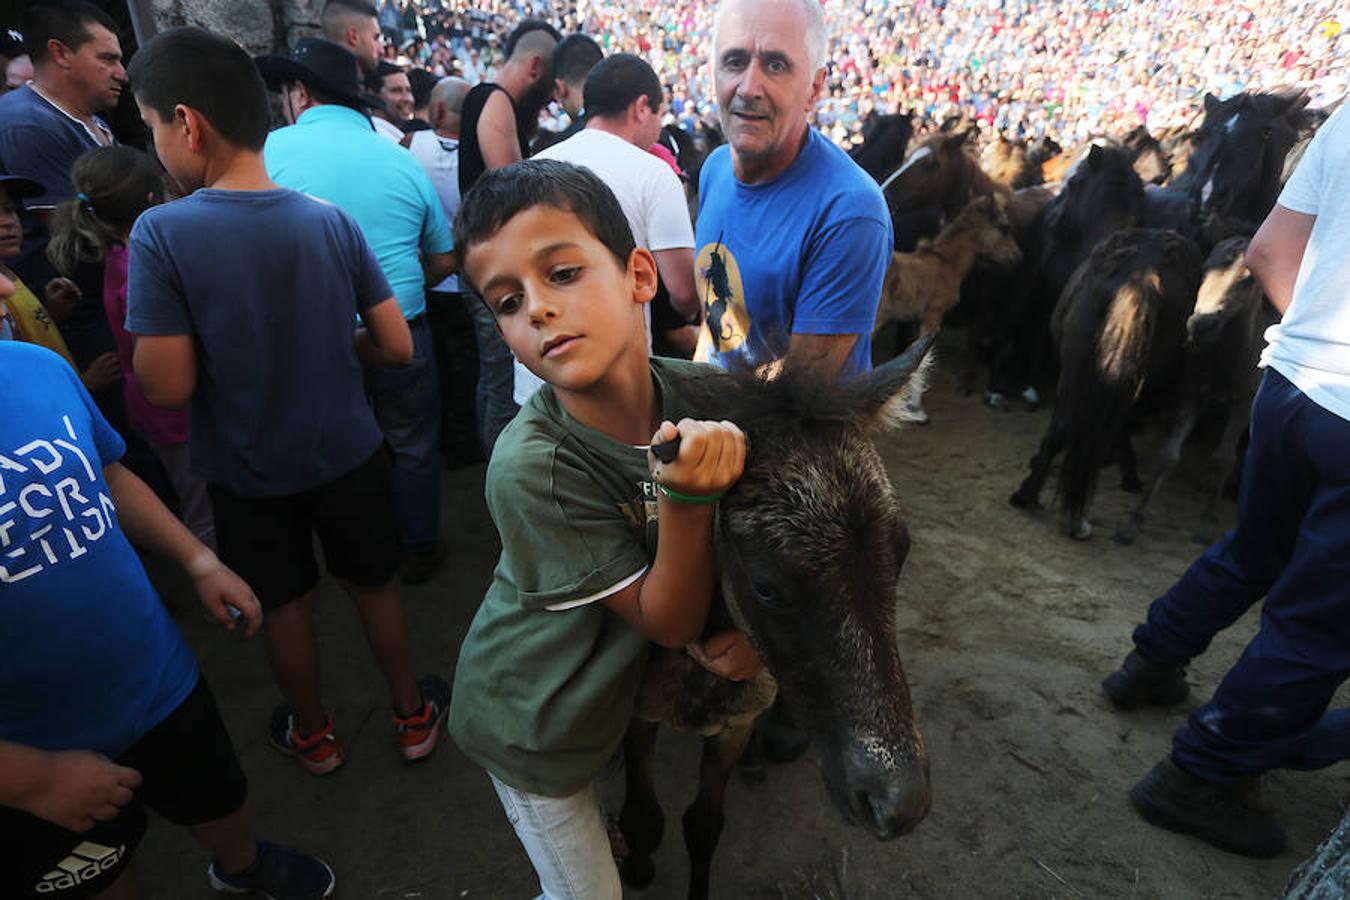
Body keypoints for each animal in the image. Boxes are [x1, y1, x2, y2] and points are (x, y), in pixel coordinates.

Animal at [618, 335, 934, 900]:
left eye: (900, 555)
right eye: (767, 586)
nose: (899, 803)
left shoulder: (735, 724)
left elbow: (703, 824)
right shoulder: (637, 714)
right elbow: (643, 818)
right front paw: (635, 867)